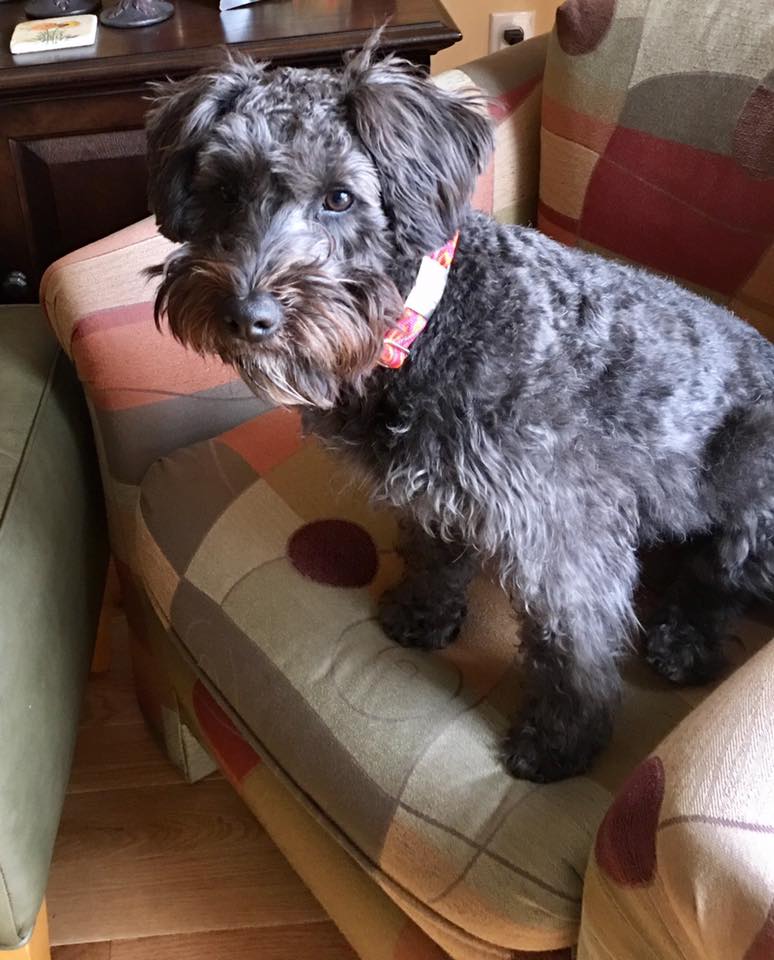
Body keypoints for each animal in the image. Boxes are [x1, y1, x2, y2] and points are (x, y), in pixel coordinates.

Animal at [146, 37, 774, 784]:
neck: (427, 324)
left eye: (339, 198)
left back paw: (684, 641)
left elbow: (574, 640)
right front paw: (424, 615)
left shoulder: (562, 532)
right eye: (224, 191)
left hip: (749, 486)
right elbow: (433, 553)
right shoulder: (436, 491)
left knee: (723, 581)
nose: (248, 316)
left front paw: (563, 739)